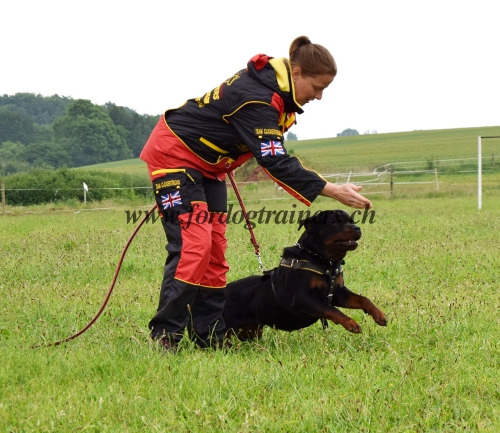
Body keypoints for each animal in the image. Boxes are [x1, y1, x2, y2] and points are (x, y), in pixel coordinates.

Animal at [223, 210, 386, 340]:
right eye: (335, 222)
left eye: (351, 221)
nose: (357, 228)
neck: (324, 261)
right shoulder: (302, 298)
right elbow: (331, 309)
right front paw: (350, 323)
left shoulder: (338, 293)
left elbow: (362, 299)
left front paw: (378, 314)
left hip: (250, 330)